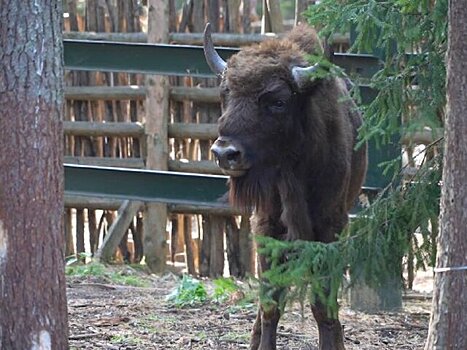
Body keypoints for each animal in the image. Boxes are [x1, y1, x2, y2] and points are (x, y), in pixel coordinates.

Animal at [203, 22, 368, 350]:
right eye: (226, 94)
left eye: (277, 102)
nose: (225, 153)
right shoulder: (266, 226)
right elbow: (270, 303)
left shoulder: (328, 228)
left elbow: (322, 305)